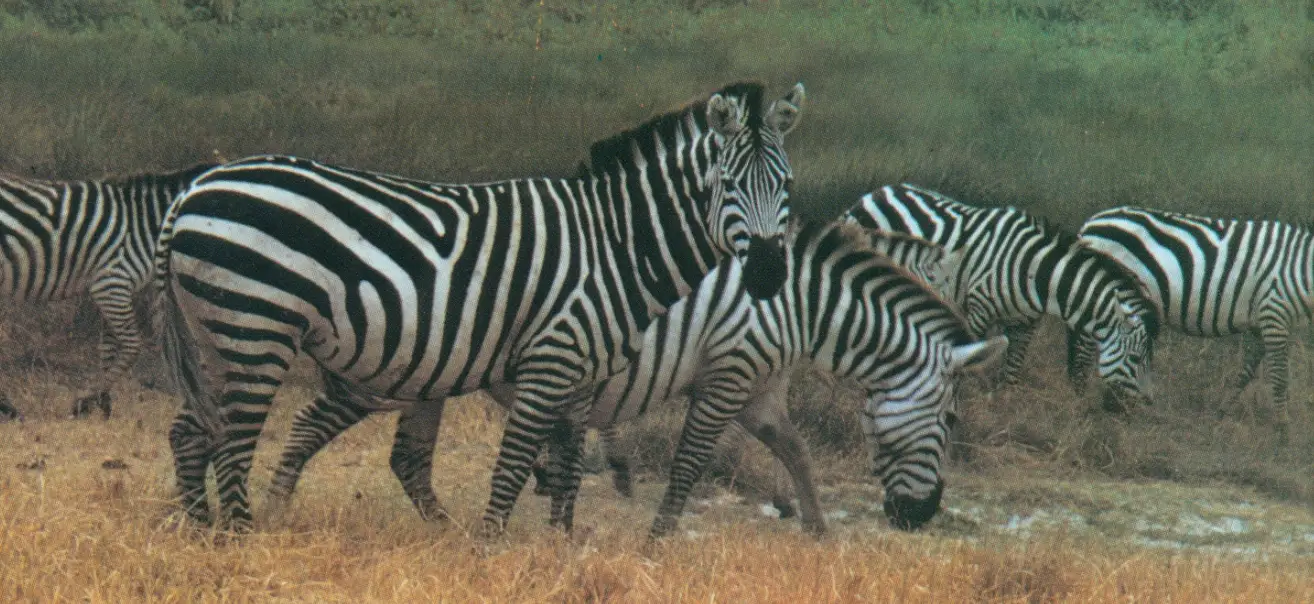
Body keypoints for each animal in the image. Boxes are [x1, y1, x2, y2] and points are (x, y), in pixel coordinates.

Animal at [0, 164, 215, 419]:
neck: (150, 222)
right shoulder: (112, 283)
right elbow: (132, 345)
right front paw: (88, 401)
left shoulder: (114, 289)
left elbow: (108, 347)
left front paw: (103, 404)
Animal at [153, 82, 804, 536]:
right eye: (725, 185)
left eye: (789, 186)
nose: (769, 274)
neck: (615, 244)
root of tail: (196, 188)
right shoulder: (551, 358)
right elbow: (516, 464)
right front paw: (489, 546)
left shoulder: (580, 374)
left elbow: (567, 466)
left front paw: (558, 547)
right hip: (254, 326)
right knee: (233, 439)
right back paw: (239, 536)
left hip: (216, 334)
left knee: (191, 431)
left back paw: (202, 531)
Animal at [268, 222, 1001, 536]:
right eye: (950, 421)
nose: (919, 518)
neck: (794, 305)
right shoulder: (727, 375)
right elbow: (692, 460)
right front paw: (660, 536)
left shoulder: (759, 388)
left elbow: (794, 449)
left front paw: (819, 528)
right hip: (389, 374)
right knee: (309, 423)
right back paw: (277, 506)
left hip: (431, 380)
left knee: (409, 459)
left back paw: (445, 530)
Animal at [842, 184, 1155, 405]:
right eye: (1135, 359)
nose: (1146, 404)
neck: (1035, 273)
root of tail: (877, 192)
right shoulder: (979, 310)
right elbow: (968, 359)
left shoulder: (1026, 323)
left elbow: (1012, 372)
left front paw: (1005, 409)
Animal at [1077, 207, 1314, 438]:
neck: (1302, 269)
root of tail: (1092, 221)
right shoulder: (1274, 312)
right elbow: (1280, 376)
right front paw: (1283, 430)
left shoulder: (1263, 323)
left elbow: (1247, 372)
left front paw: (1223, 410)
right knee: (1084, 343)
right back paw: (1081, 396)